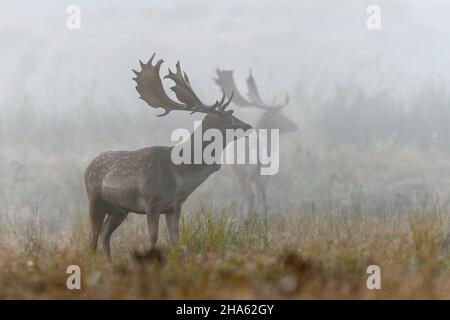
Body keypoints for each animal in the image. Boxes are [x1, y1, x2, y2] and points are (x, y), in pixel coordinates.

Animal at [84, 53, 251, 258]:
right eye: (231, 119)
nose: (248, 126)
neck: (179, 176)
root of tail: (87, 168)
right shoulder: (152, 202)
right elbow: (153, 237)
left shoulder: (174, 206)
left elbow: (175, 239)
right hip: (95, 199)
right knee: (92, 237)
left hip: (119, 209)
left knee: (104, 234)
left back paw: (109, 262)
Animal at [213, 69, 298, 221]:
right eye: (280, 116)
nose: (295, 125)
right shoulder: (266, 173)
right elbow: (263, 197)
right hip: (254, 172)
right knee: (256, 196)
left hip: (240, 172)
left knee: (246, 196)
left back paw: (243, 221)